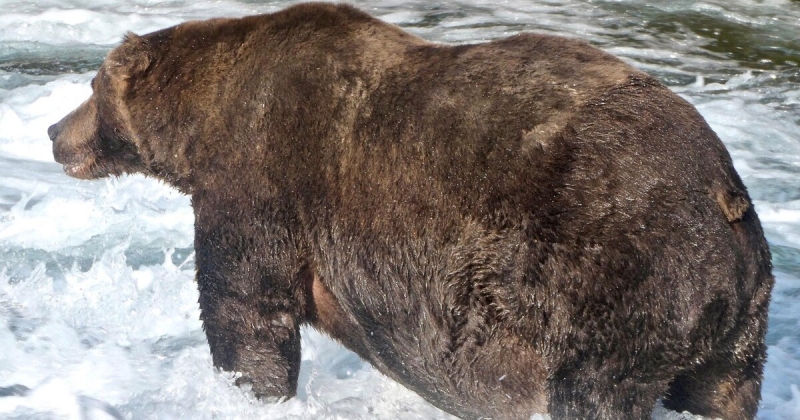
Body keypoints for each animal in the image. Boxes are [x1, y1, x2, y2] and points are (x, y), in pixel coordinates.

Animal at [47, 3, 772, 420]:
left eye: (92, 87)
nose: (55, 132)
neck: (200, 125)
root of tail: (725, 193)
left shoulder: (260, 176)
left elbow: (246, 308)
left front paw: (248, 389)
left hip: (612, 279)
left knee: (593, 393)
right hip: (733, 321)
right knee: (721, 393)